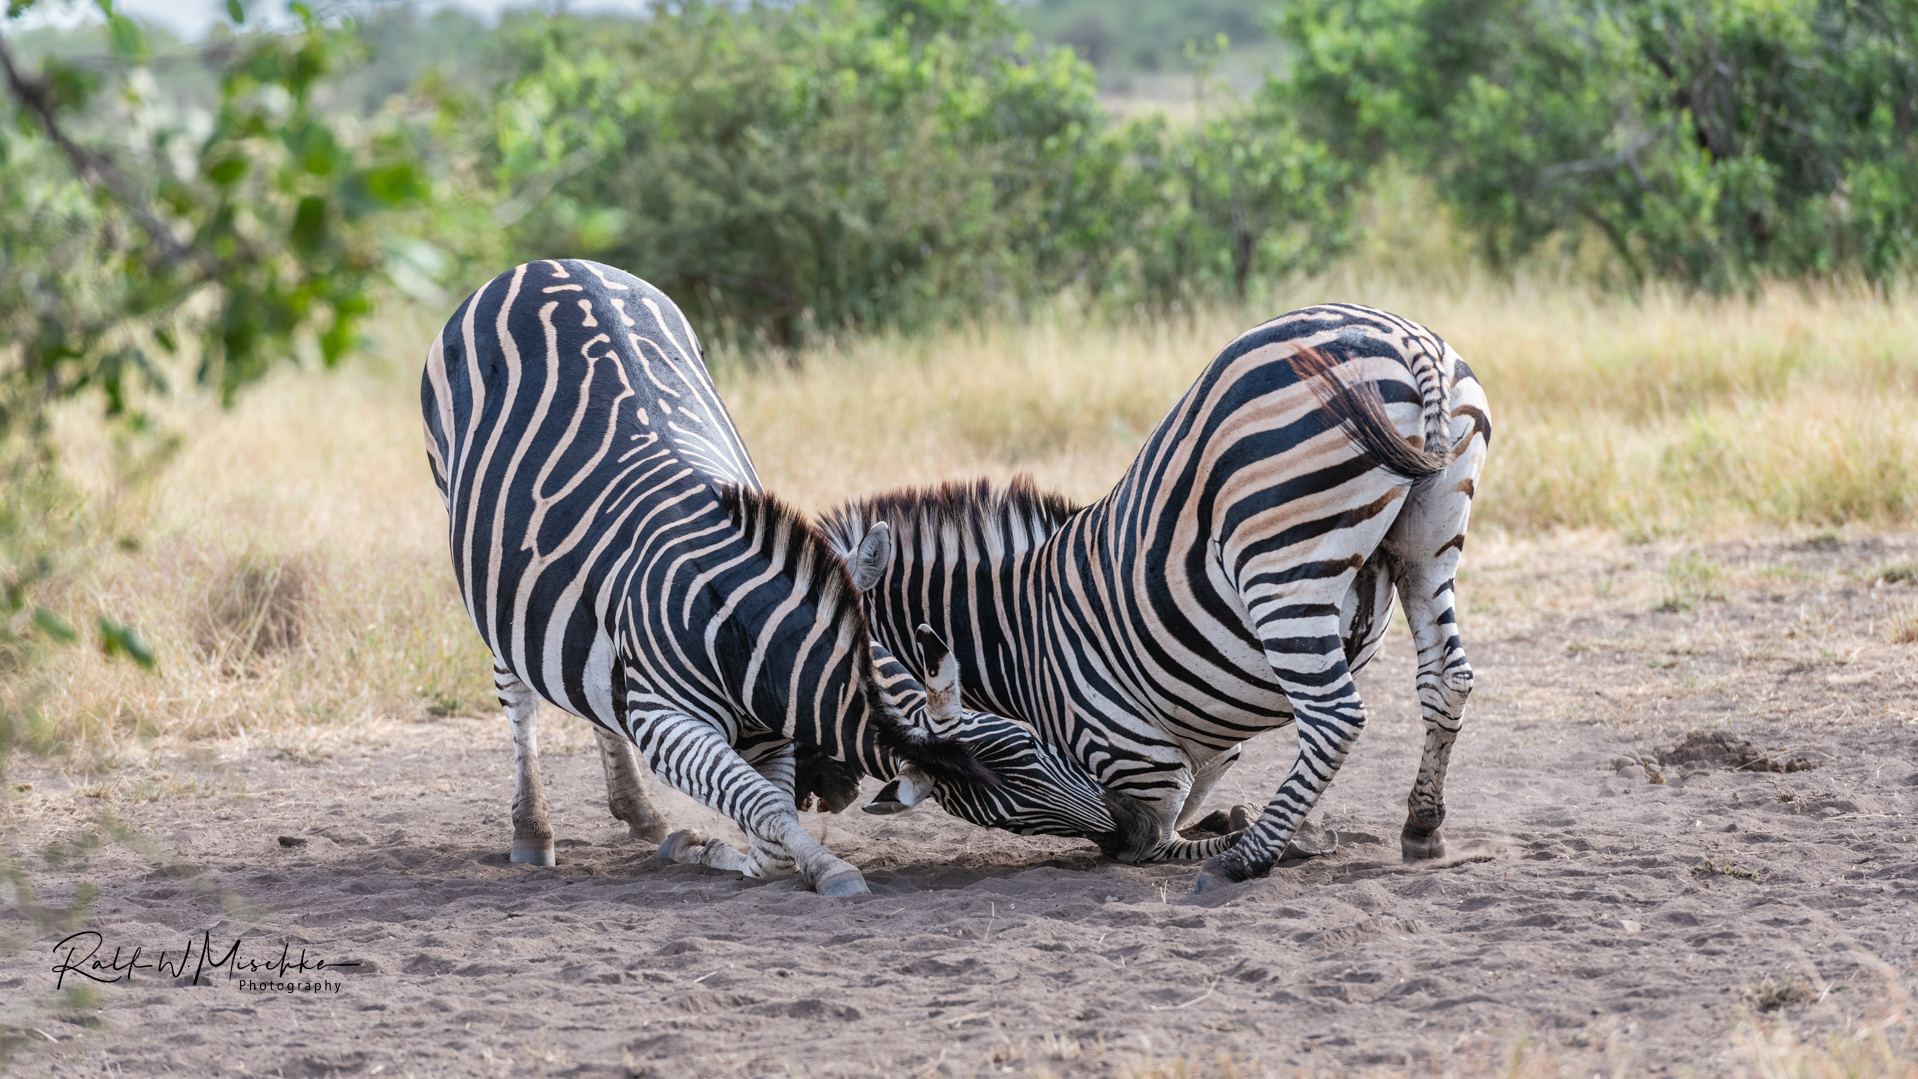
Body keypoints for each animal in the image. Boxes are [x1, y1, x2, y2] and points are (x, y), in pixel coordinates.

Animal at [817, 304, 1488, 896]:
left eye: (1026, 755)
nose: (827, 787)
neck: (1015, 640)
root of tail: (1407, 340)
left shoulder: (1144, 763)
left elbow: (1163, 835)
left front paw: (1248, 838)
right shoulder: (1203, 752)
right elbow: (1189, 808)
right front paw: (1252, 825)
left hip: (1279, 565)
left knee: (1334, 717)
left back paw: (1244, 862)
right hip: (1429, 542)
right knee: (1447, 678)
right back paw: (1421, 827)